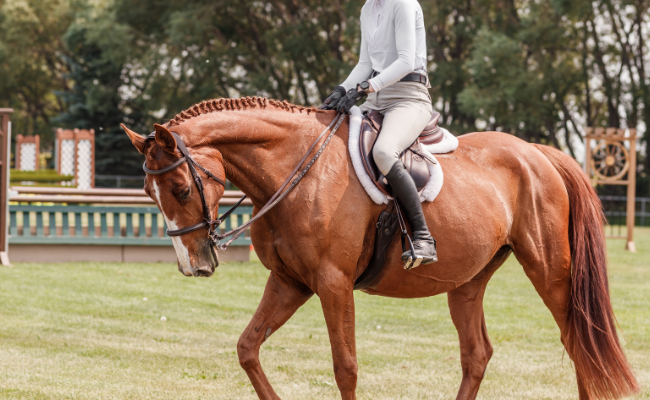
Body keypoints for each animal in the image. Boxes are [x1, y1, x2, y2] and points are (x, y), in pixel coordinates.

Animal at [121, 97, 638, 400]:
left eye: (181, 190)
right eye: (148, 193)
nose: (194, 265)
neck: (298, 168)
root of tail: (538, 153)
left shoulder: (332, 284)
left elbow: (345, 366)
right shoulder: (290, 281)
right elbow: (248, 348)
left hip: (549, 271)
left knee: (578, 343)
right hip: (468, 282)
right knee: (477, 355)